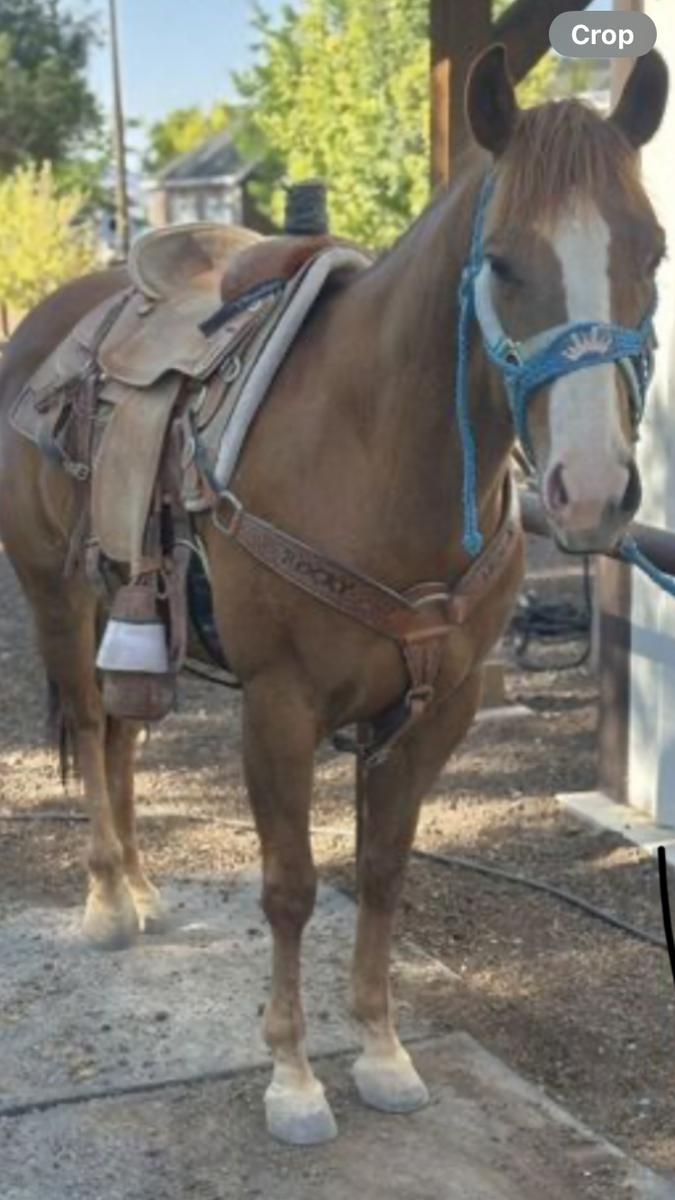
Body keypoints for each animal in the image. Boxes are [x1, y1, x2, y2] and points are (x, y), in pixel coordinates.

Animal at [0, 46, 668, 1145]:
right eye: (502, 263)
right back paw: (104, 903)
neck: (373, 445)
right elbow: (291, 888)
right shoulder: (280, 708)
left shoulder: (439, 708)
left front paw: (384, 1054)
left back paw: (141, 886)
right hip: (54, 593)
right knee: (94, 732)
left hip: (132, 610)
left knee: (124, 736)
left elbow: (383, 874)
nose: (594, 491)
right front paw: (294, 1077)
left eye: (651, 253)